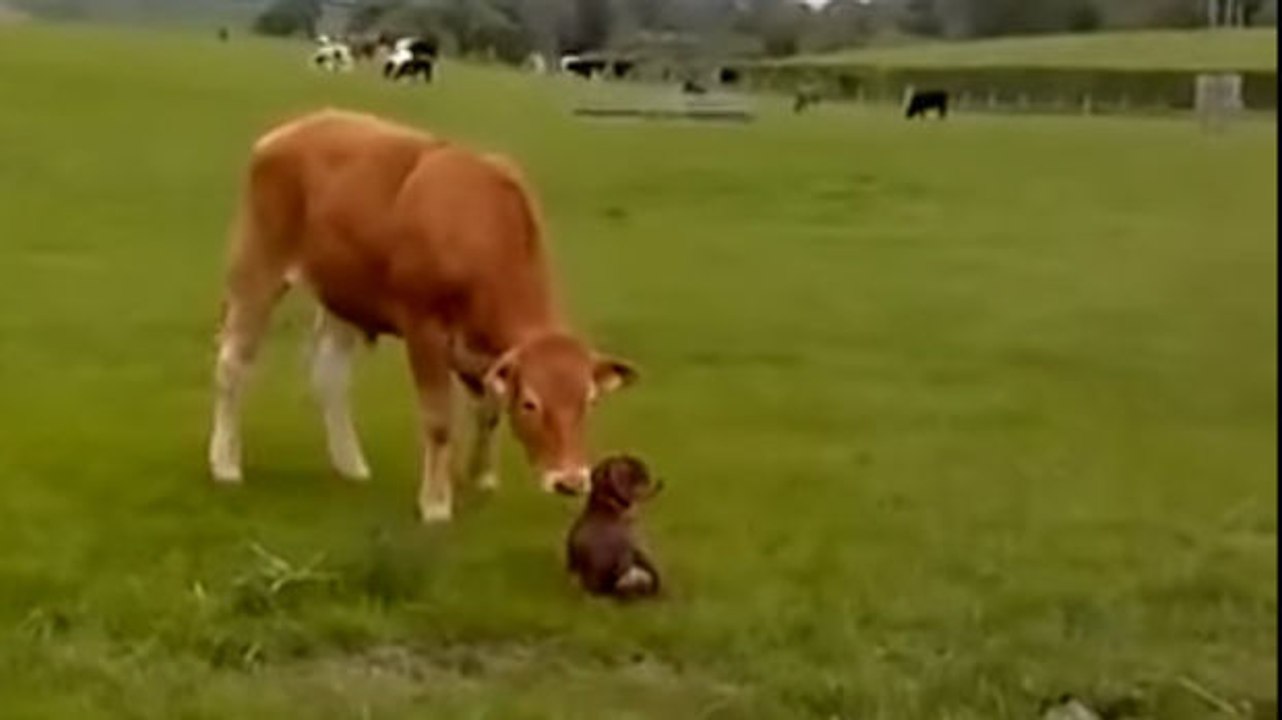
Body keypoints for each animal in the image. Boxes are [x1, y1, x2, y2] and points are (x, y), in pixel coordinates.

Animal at [208, 109, 639, 523]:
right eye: (531, 404)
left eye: (590, 402)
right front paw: (435, 503)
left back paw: (351, 465)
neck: (480, 227)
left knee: (330, 376)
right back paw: (225, 463)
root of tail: (291, 130)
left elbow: (489, 411)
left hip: (342, 295)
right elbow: (439, 420)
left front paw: (481, 477)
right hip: (258, 267)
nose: (570, 481)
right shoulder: (424, 330)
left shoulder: (484, 355)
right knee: (233, 364)